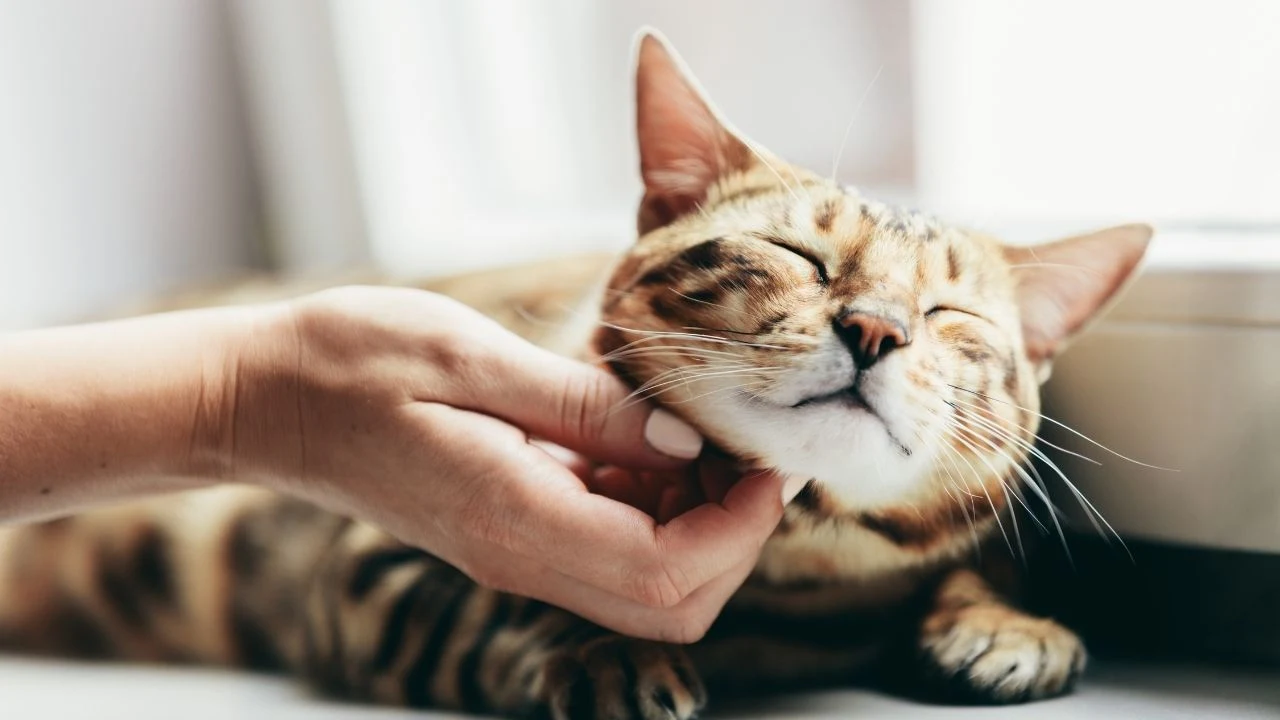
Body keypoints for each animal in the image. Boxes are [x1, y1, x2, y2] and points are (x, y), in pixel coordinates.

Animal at [0, 29, 1152, 717]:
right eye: (799, 256)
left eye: (950, 317)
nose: (874, 329)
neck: (784, 583)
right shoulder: (363, 562)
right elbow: (499, 609)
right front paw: (605, 652)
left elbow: (970, 558)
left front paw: (1003, 622)